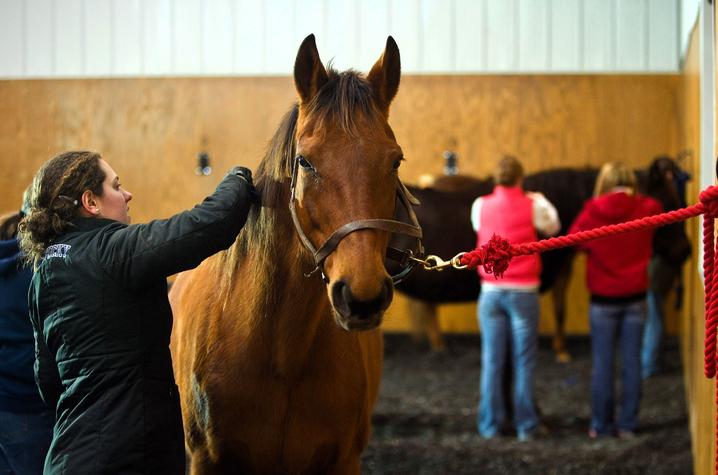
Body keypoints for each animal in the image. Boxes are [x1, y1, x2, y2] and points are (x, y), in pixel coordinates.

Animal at [169, 35, 420, 474]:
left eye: (395, 160)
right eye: (305, 161)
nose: (362, 296)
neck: (281, 356)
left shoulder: (344, 461)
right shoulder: (205, 459)